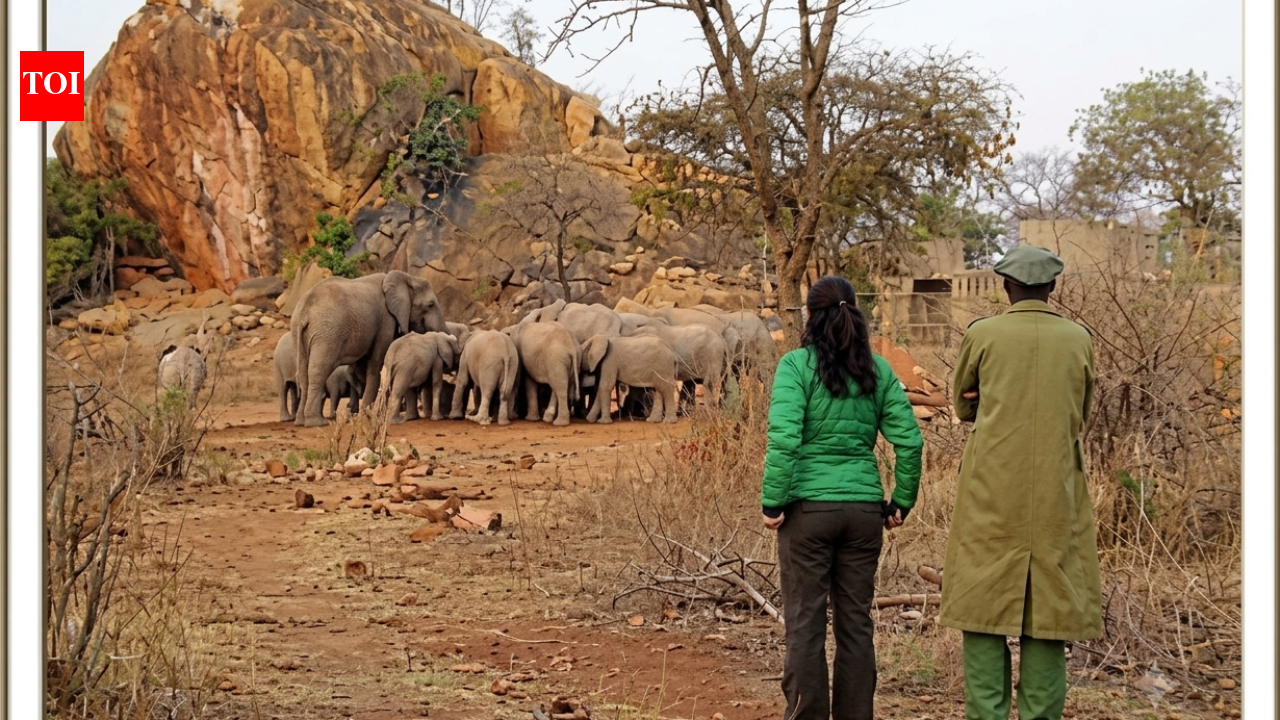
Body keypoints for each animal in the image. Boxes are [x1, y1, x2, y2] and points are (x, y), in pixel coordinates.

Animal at [291, 271, 447, 426]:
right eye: (430, 305)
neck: (407, 277)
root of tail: (305, 310)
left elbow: (363, 368)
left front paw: (366, 414)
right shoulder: (386, 320)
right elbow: (375, 364)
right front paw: (368, 416)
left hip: (300, 332)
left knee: (303, 374)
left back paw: (301, 421)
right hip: (327, 333)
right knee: (318, 371)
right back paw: (317, 422)